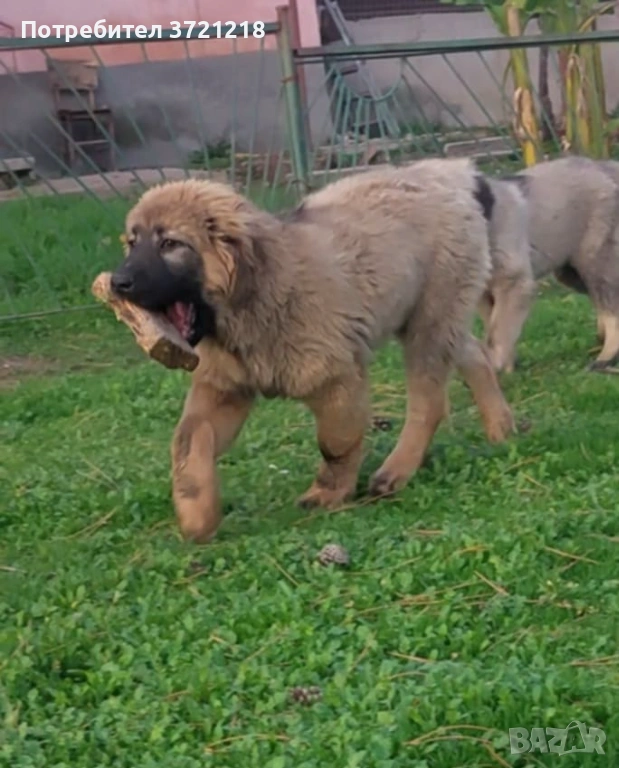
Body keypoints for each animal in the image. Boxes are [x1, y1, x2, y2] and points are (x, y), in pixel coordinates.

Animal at [109, 158, 515, 542]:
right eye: (132, 243)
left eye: (169, 244)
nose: (117, 282)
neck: (255, 296)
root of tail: (446, 174)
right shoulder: (224, 389)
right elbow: (188, 442)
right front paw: (197, 514)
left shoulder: (337, 378)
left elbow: (334, 443)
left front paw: (328, 493)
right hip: (435, 317)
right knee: (475, 356)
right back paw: (501, 428)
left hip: (429, 319)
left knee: (429, 402)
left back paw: (395, 472)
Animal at [480, 155, 619, 373]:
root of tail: (603, 165)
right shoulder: (486, 294)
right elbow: (496, 327)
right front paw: (508, 369)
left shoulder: (513, 284)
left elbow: (499, 331)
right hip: (571, 272)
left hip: (594, 261)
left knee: (611, 305)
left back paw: (606, 357)